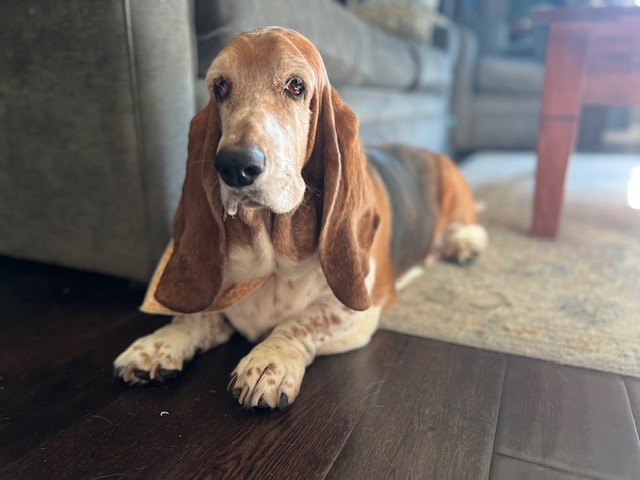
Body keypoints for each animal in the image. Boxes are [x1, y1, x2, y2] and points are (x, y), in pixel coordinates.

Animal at [114, 27, 487, 409]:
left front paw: (270, 361)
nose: (235, 166)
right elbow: (198, 317)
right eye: (220, 86)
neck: (273, 260)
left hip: (456, 194)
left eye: (296, 86)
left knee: (470, 224)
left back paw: (463, 244)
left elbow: (302, 322)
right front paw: (160, 342)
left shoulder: (354, 314)